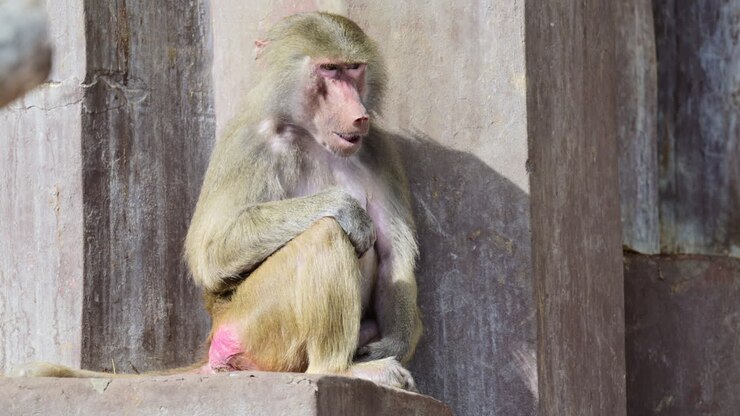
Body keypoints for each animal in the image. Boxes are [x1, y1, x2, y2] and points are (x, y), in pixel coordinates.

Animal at [10, 12, 422, 391]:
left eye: (354, 70)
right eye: (329, 70)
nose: (359, 115)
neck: (309, 135)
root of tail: (215, 337)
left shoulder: (379, 149)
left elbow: (393, 256)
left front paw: (394, 344)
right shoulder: (248, 143)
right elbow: (209, 251)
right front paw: (345, 208)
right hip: (254, 322)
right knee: (324, 235)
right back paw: (340, 369)